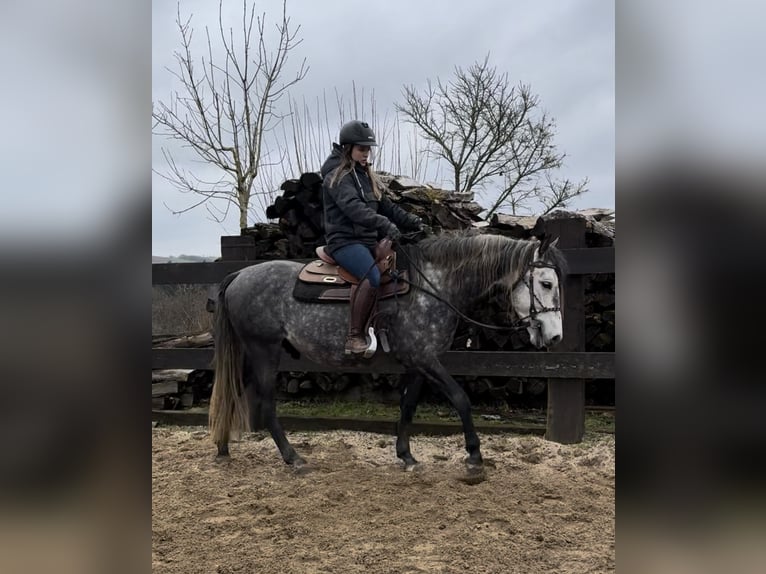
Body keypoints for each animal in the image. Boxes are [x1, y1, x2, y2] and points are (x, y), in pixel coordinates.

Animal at [207, 233, 568, 472]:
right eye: (546, 283)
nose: (555, 336)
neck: (434, 287)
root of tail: (239, 274)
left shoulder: (417, 363)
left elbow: (408, 407)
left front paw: (406, 456)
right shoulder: (426, 360)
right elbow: (461, 398)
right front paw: (475, 457)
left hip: (252, 354)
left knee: (231, 390)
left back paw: (223, 447)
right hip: (264, 352)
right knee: (266, 404)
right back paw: (293, 458)